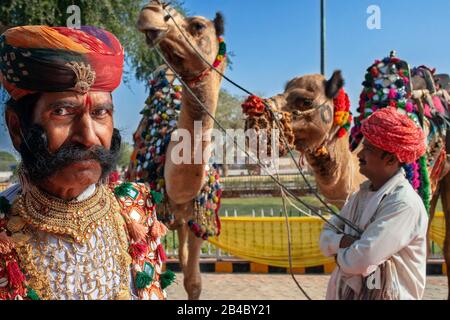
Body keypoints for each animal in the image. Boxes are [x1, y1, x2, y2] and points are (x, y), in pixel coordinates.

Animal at [131, 0, 229, 300]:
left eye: (197, 25)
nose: (150, 9)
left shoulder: (199, 215)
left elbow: (194, 281)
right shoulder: (157, 214)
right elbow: (157, 276)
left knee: (185, 257)